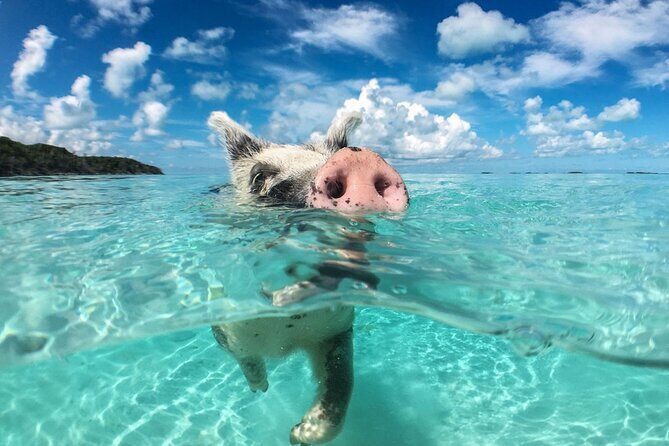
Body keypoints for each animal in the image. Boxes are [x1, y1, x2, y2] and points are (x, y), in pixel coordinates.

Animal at [207, 110, 409, 445]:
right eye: (259, 177)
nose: (359, 159)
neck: (285, 333)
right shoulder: (226, 325)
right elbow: (245, 358)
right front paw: (260, 388)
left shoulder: (337, 329)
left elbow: (342, 379)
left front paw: (298, 433)